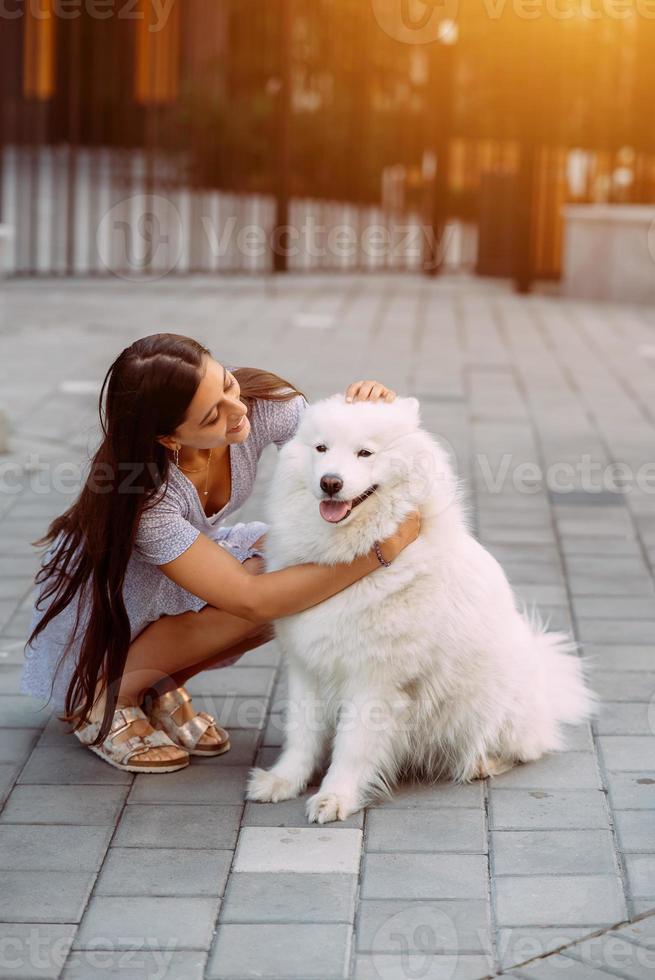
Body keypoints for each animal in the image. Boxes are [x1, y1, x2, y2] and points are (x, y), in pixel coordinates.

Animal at [246, 394, 596, 824]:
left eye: (365, 453)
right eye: (321, 448)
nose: (331, 482)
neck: (346, 563)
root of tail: (547, 681)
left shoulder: (375, 680)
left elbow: (352, 747)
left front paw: (336, 797)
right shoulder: (306, 666)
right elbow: (301, 734)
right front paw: (284, 781)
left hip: (489, 702)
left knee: (521, 750)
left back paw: (481, 763)